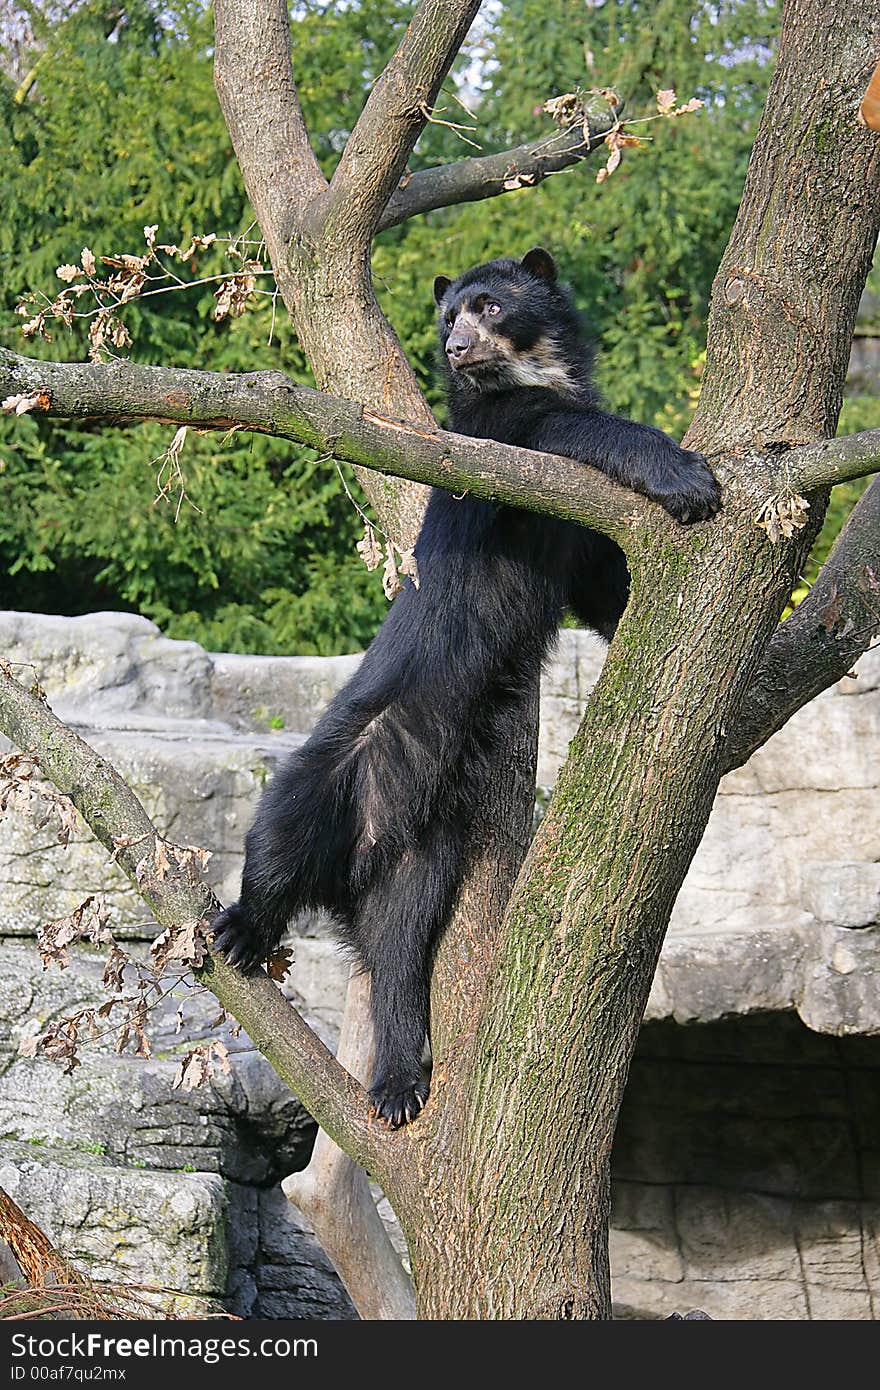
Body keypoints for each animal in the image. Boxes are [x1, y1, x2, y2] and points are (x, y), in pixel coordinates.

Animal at [214, 250, 722, 1128]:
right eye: (448, 315)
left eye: (487, 305)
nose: (455, 346)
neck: (530, 368)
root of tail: (367, 848)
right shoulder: (501, 441)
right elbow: (571, 431)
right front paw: (692, 480)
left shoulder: (571, 534)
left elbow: (602, 586)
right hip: (331, 769)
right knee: (275, 840)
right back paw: (241, 929)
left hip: (422, 859)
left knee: (399, 959)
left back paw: (396, 1085)